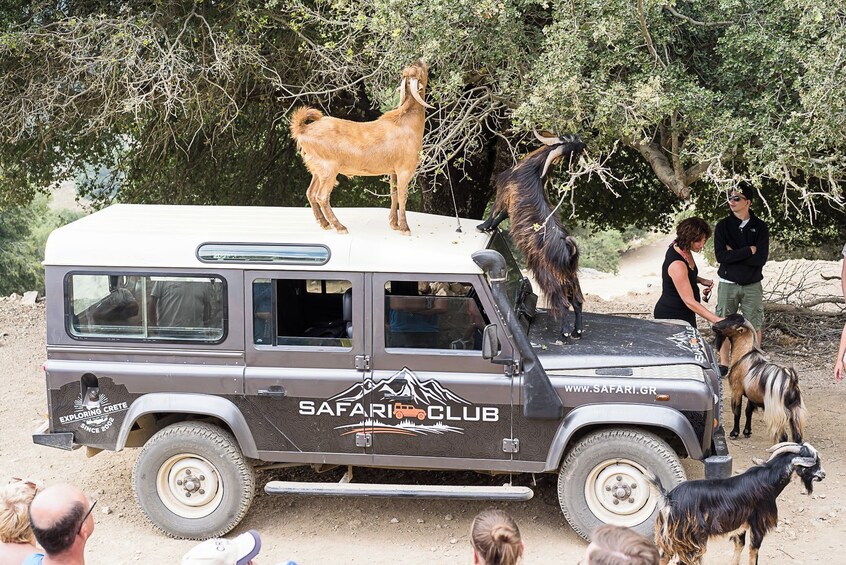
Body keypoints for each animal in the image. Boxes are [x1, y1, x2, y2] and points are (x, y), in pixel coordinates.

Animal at [290, 60, 433, 235]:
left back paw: (324, 223)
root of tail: (303, 130)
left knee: (310, 193)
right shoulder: (405, 169)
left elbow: (393, 194)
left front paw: (394, 224)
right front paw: (405, 228)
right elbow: (402, 196)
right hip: (329, 168)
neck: (407, 123)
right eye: (418, 71)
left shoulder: (393, 170)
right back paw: (340, 226)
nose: (421, 61)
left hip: (318, 170)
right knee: (322, 196)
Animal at [477, 132, 586, 338]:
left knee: (564, 302)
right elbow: (503, 215)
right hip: (571, 276)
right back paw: (577, 331)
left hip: (549, 275)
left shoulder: (504, 191)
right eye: (572, 143)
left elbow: (496, 210)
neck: (533, 168)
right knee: (577, 301)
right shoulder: (512, 204)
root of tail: (569, 251)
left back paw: (565, 334)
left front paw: (483, 226)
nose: (584, 145)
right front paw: (489, 227)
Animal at [652, 442, 825, 565]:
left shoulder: (740, 527)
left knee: (664, 558)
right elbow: (753, 553)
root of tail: (669, 498)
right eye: (814, 461)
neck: (768, 481)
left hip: (670, 538)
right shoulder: (758, 524)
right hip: (691, 540)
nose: (823, 474)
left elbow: (739, 548)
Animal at [712, 313, 807, 443]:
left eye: (731, 322)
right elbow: (748, 411)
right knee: (797, 436)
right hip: (795, 410)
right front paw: (747, 431)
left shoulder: (736, 391)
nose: (714, 325)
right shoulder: (751, 395)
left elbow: (737, 412)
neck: (743, 355)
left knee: (783, 436)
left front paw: (734, 433)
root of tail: (791, 382)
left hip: (777, 412)